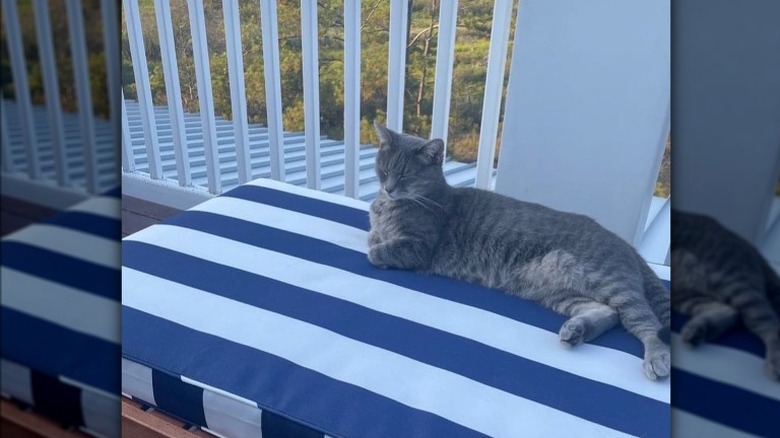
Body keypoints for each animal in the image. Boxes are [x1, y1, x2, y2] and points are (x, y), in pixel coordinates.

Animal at [368, 123, 672, 380]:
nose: (388, 188)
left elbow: (377, 250)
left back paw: (656, 357)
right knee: (608, 313)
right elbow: (373, 236)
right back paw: (576, 330)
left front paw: (378, 252)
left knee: (646, 322)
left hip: (609, 281)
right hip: (557, 291)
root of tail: (627, 244)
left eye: (405, 174)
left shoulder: (420, 248)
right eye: (383, 170)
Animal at [672, 210, 780, 380]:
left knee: (770, 324)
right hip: (685, 295)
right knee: (730, 312)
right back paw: (698, 331)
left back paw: (775, 361)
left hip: (733, 282)